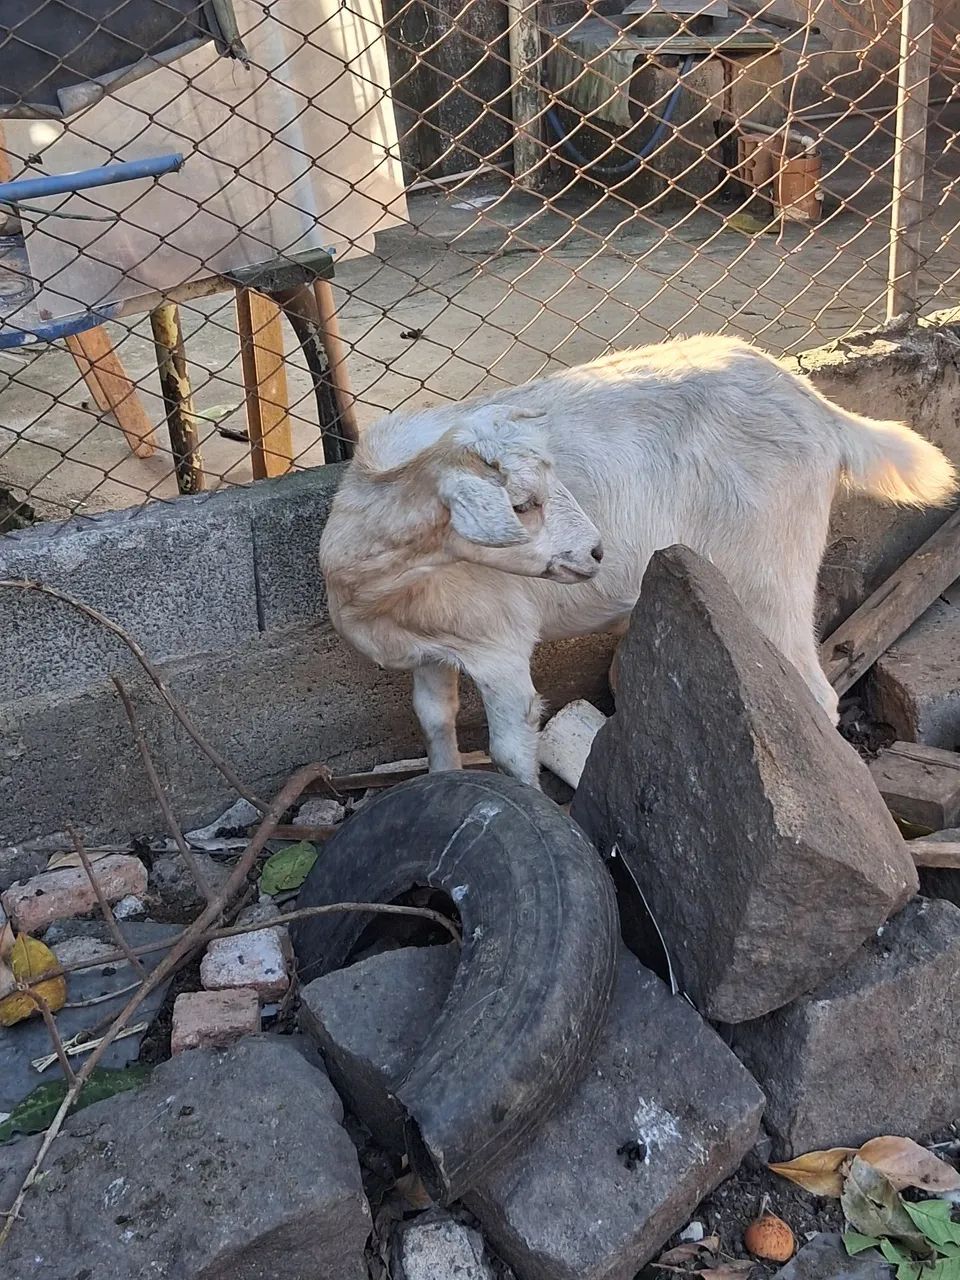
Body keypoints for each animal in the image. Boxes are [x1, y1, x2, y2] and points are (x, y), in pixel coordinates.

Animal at [319, 334, 956, 787]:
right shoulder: (435, 649)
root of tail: (822, 410)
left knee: (814, 688)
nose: (596, 551)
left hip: (769, 565)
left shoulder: (500, 645)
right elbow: (434, 720)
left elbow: (510, 749)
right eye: (522, 504)